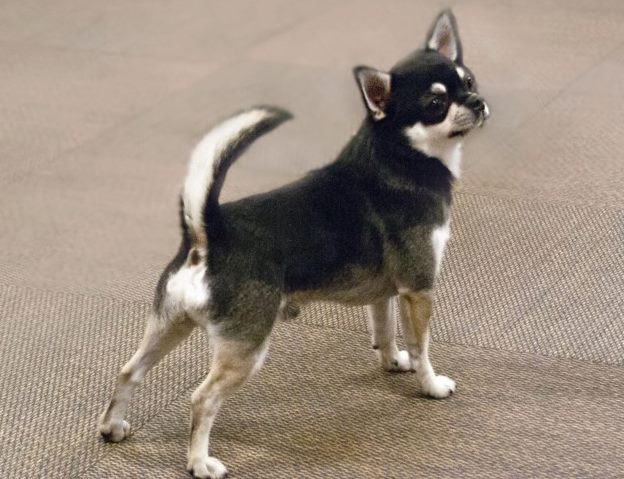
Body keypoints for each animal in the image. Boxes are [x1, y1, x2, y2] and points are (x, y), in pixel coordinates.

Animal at [98, 9, 489, 478]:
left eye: (469, 81)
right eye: (436, 105)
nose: (477, 102)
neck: (400, 155)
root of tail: (208, 231)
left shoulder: (387, 293)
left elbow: (384, 329)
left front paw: (393, 361)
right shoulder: (419, 288)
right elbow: (422, 346)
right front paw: (429, 383)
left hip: (170, 324)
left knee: (129, 371)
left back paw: (113, 426)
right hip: (245, 347)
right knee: (202, 400)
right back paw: (200, 462)